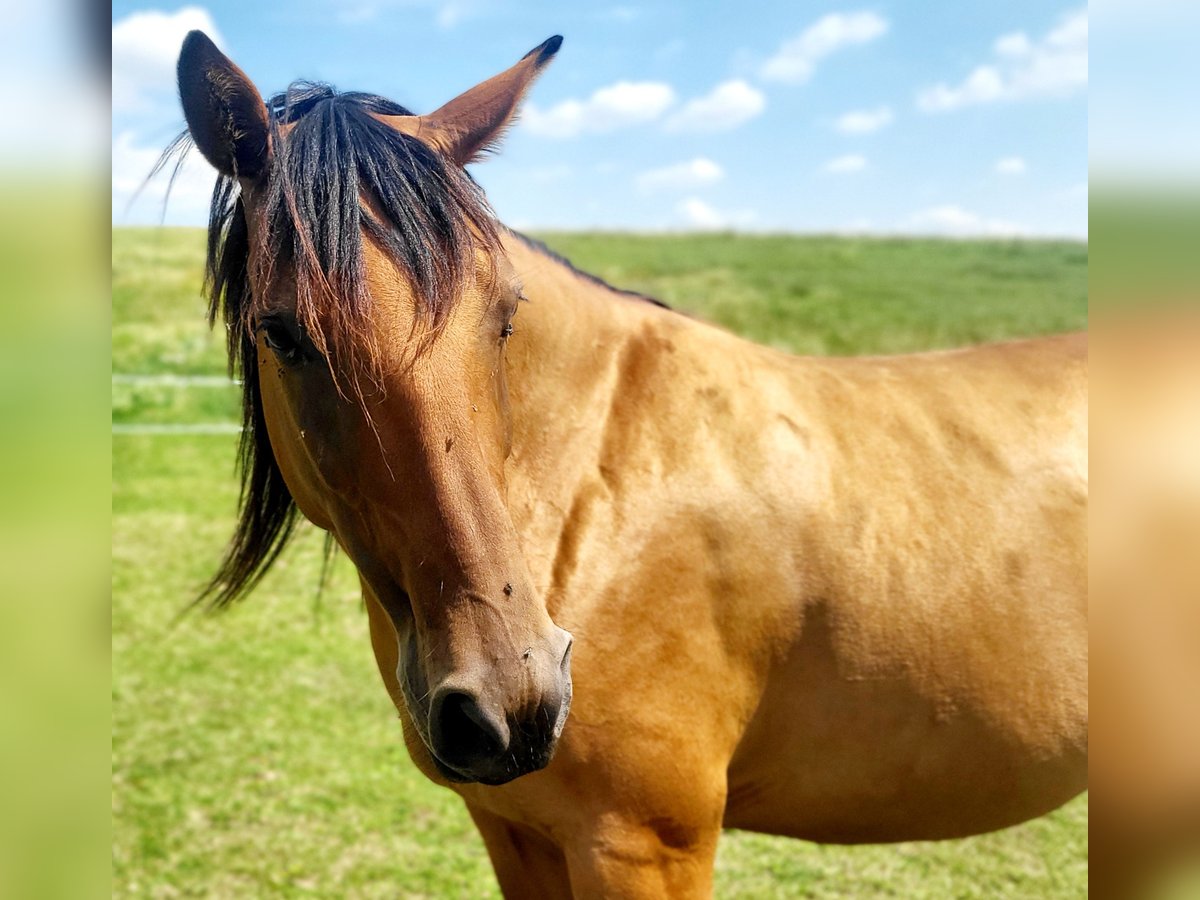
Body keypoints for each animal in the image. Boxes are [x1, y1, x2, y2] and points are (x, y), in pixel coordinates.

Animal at [175, 31, 1089, 897]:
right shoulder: (515, 833)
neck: (588, 492)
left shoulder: (645, 848)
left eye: (505, 315)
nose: (512, 700)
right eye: (282, 334)